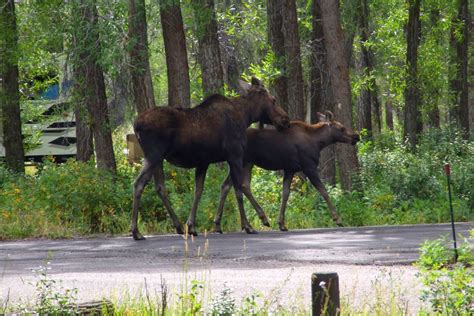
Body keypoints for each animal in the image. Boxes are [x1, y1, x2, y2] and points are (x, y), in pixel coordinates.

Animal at [131, 77, 290, 239]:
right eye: (273, 99)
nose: (286, 119)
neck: (246, 116)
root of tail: (135, 125)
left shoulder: (203, 162)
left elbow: (198, 191)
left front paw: (192, 226)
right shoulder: (235, 155)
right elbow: (238, 191)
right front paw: (248, 226)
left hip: (158, 159)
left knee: (159, 187)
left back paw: (179, 226)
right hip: (154, 155)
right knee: (139, 183)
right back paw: (136, 231)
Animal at [213, 111, 358, 232]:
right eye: (341, 128)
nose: (356, 136)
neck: (319, 142)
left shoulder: (290, 169)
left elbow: (285, 194)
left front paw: (281, 223)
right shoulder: (309, 167)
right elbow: (324, 191)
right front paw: (338, 219)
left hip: (247, 163)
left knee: (231, 185)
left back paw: (219, 224)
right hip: (243, 163)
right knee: (239, 186)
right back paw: (257, 220)